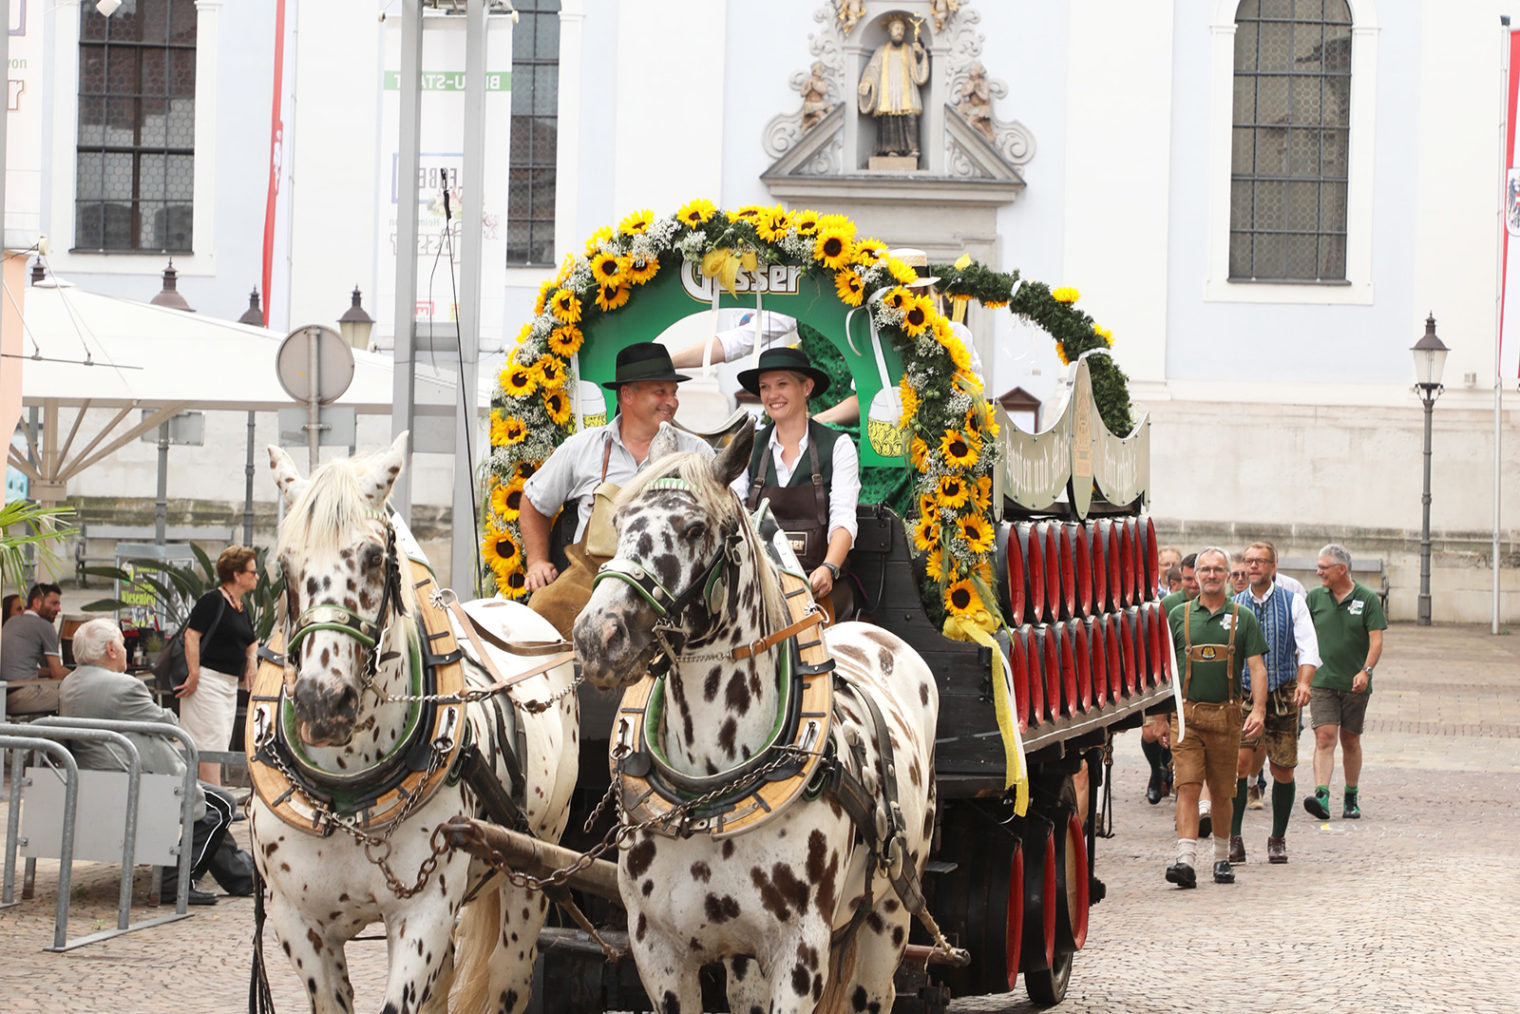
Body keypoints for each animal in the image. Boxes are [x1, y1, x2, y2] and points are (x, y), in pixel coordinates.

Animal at [252, 437, 577, 1014]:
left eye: (374, 557)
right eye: (285, 565)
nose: (321, 703)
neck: (348, 797)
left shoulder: (423, 912)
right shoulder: (297, 922)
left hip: (537, 869)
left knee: (509, 973)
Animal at [577, 425, 942, 1014]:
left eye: (694, 527)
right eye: (620, 520)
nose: (597, 636)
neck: (709, 792)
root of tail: (877, 634)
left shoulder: (800, 953)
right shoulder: (657, 950)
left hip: (888, 915)